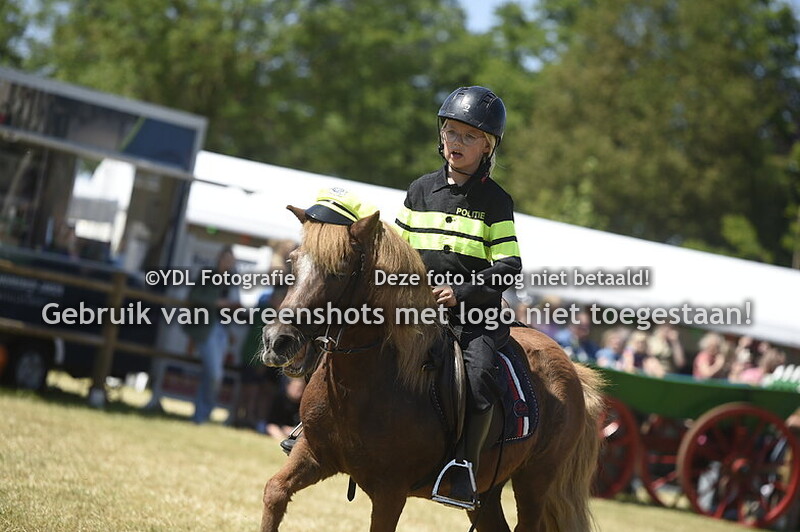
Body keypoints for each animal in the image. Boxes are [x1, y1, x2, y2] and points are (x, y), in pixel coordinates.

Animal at [259, 207, 605, 532]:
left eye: (339, 272)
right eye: (292, 262)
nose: (278, 340)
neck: (361, 386)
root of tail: (572, 369)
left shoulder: (390, 493)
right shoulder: (313, 454)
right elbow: (275, 492)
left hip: (535, 480)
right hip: (487, 491)